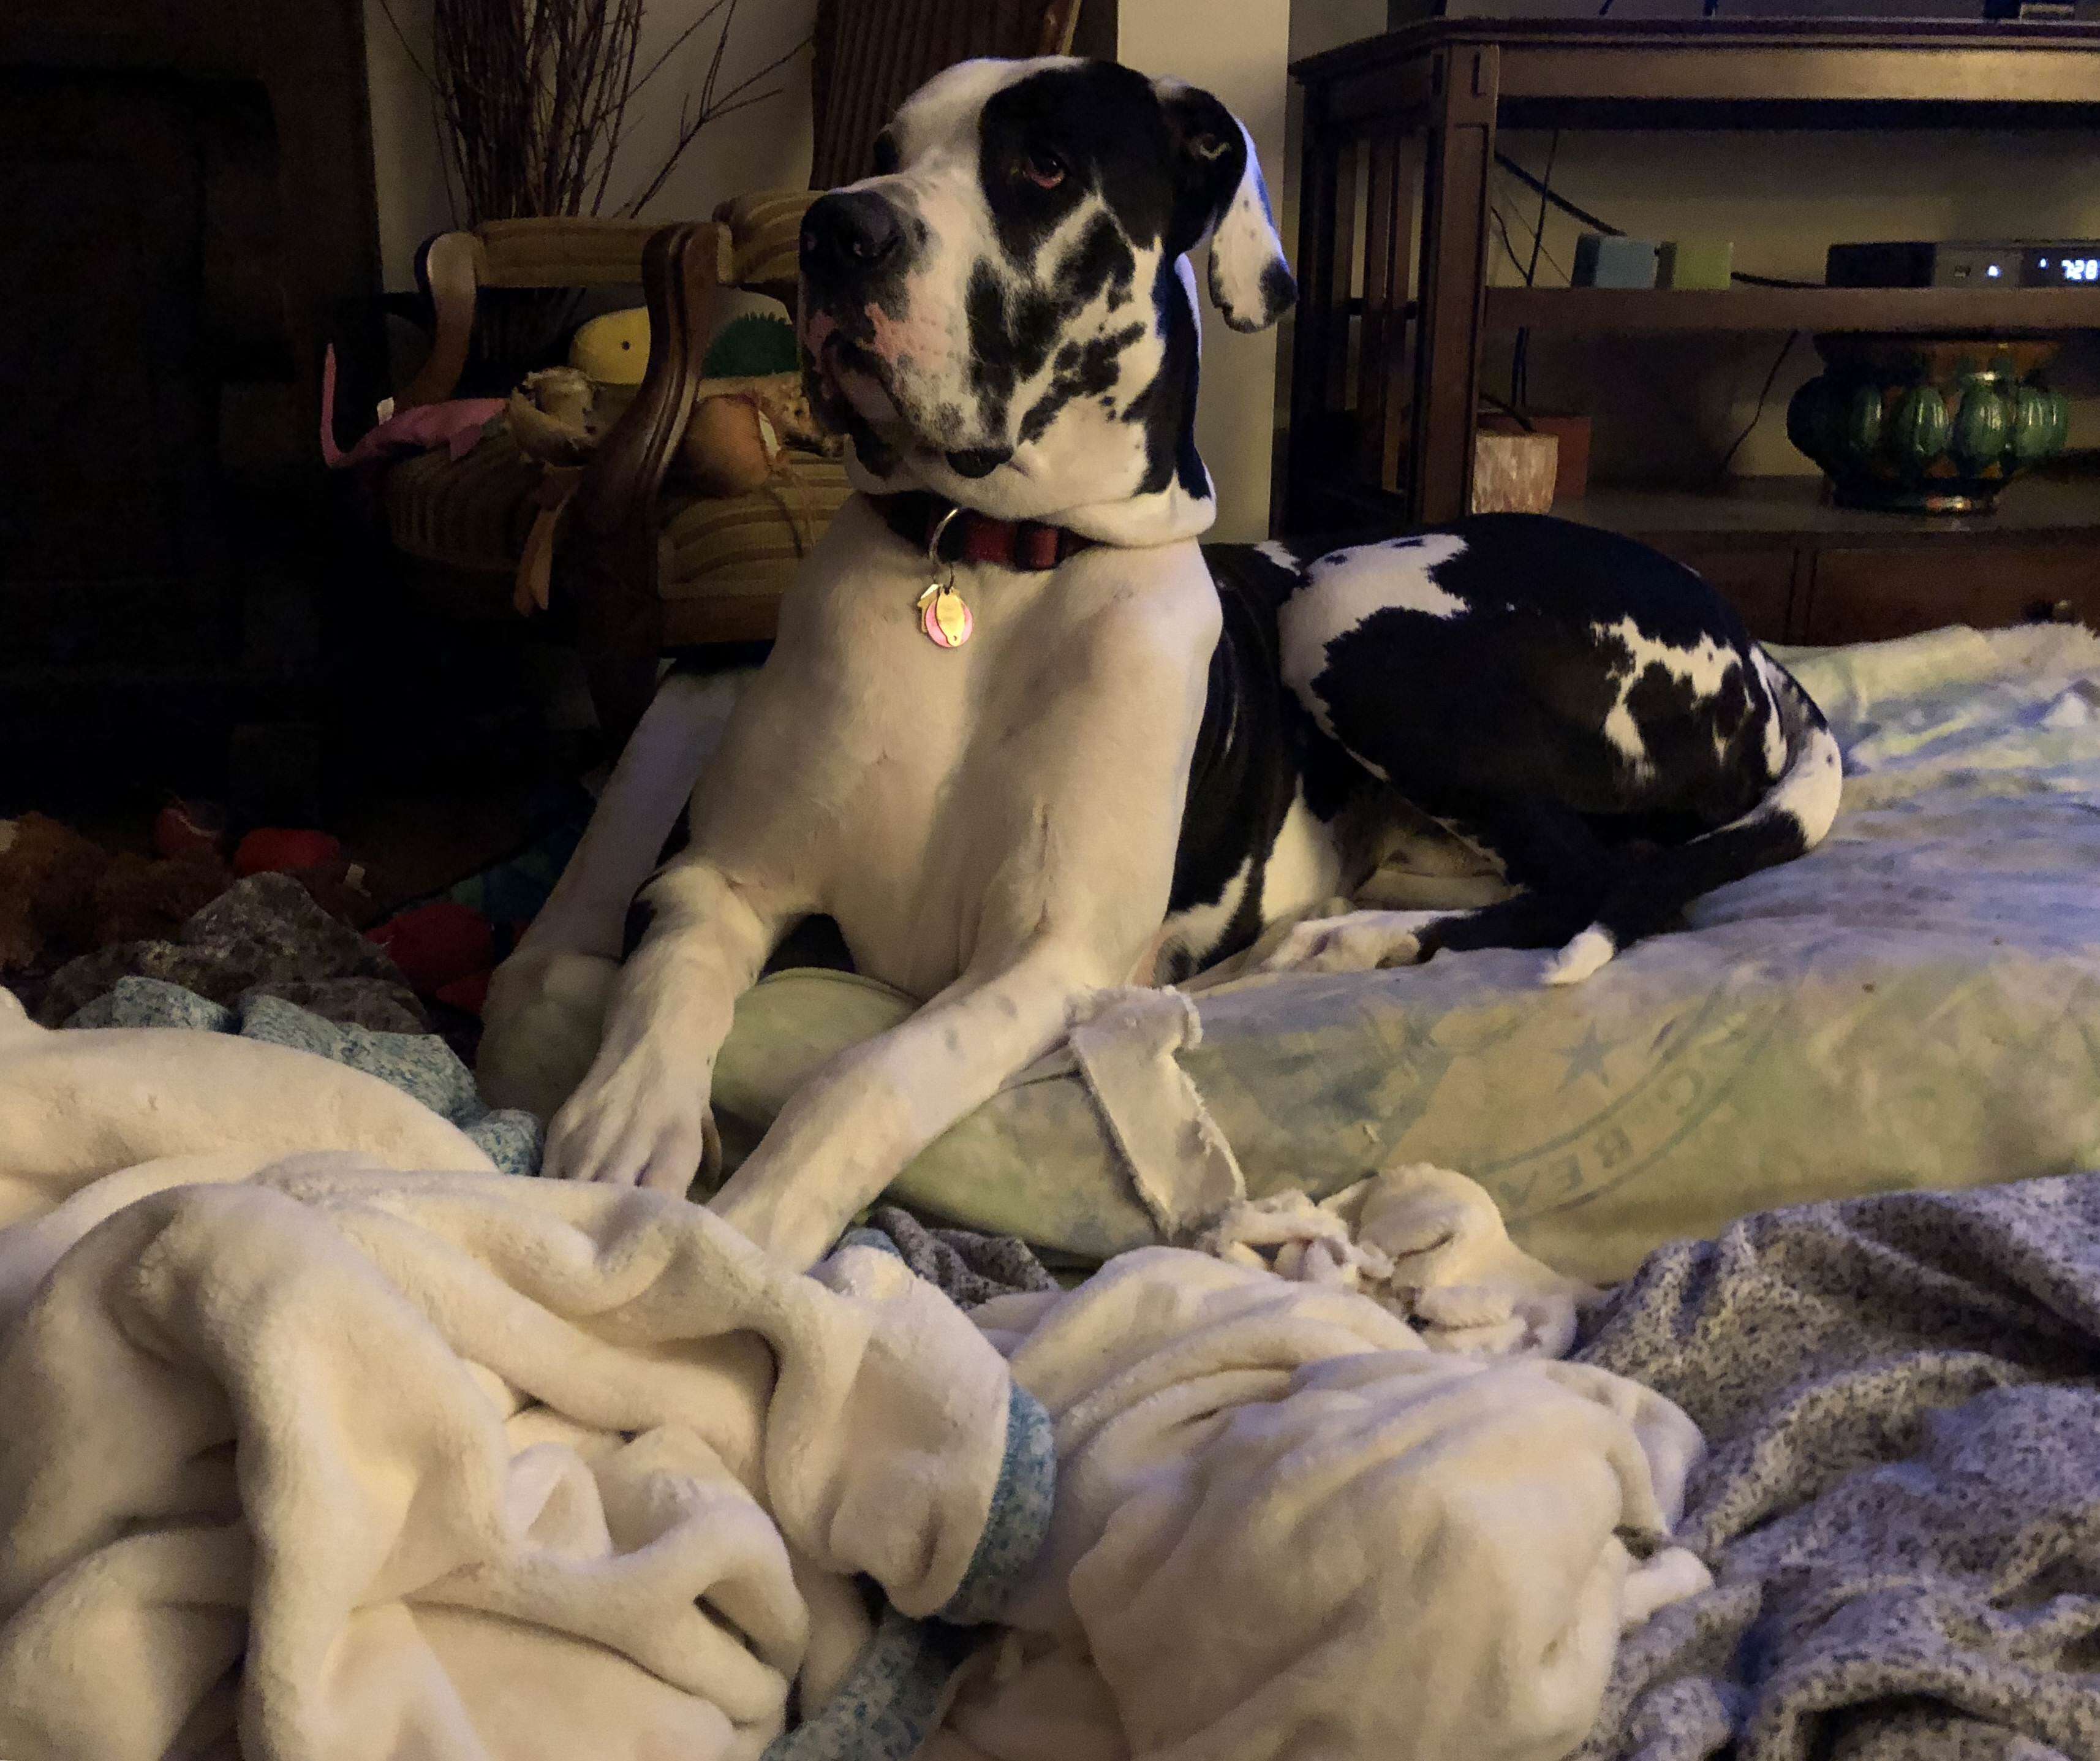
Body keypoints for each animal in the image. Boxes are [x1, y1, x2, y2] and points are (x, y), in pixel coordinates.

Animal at [477, 55, 1839, 1269]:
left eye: (1041, 164)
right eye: (882, 152)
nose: (833, 232)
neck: (987, 570)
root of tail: (1751, 646)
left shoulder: (1044, 959)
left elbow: (861, 1077)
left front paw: (741, 1238)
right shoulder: (718, 875)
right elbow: (655, 983)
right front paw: (620, 1132)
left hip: (1344, 608)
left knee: (1594, 880)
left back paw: (1343, 947)